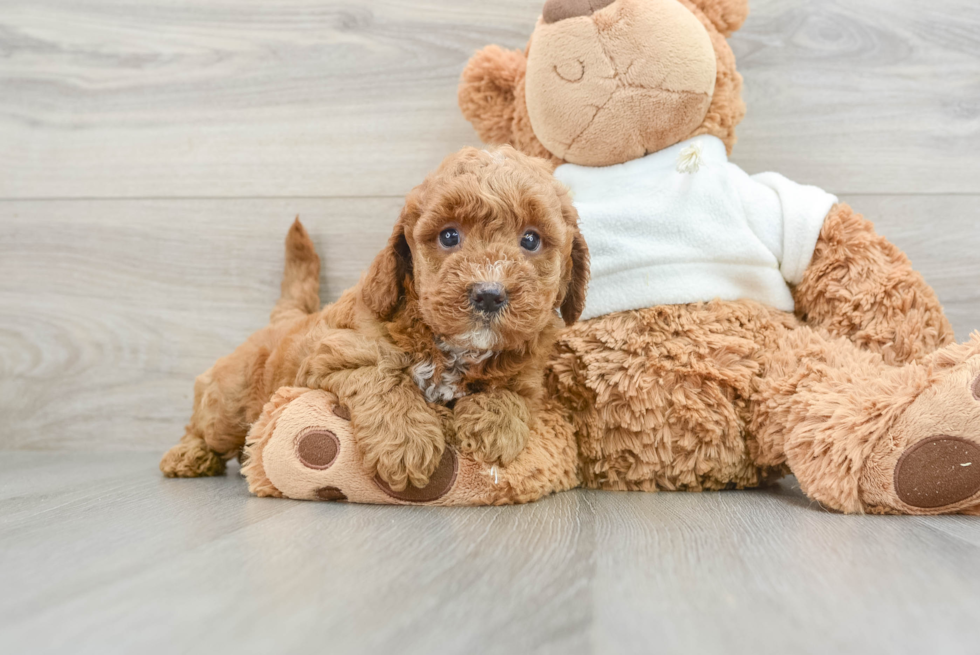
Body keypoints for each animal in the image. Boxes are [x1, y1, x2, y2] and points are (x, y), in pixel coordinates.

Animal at [161, 145, 588, 492]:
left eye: (530, 239)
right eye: (449, 236)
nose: (488, 293)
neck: (451, 347)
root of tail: (285, 319)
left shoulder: (528, 373)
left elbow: (512, 391)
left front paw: (494, 426)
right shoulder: (337, 352)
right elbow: (384, 378)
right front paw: (407, 443)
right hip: (229, 402)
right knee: (205, 424)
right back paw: (188, 455)